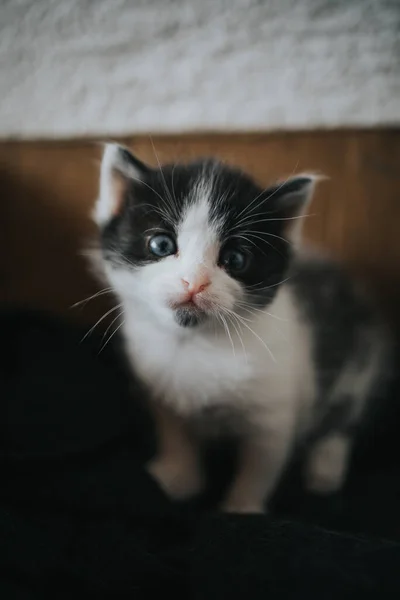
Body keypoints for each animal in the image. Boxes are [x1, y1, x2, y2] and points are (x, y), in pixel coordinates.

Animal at [90, 143, 390, 512]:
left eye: (235, 259)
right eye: (161, 245)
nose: (195, 282)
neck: (195, 343)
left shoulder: (274, 414)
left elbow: (259, 467)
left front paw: (241, 509)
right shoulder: (159, 390)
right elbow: (175, 433)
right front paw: (178, 477)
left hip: (358, 365)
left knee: (343, 418)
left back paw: (325, 469)